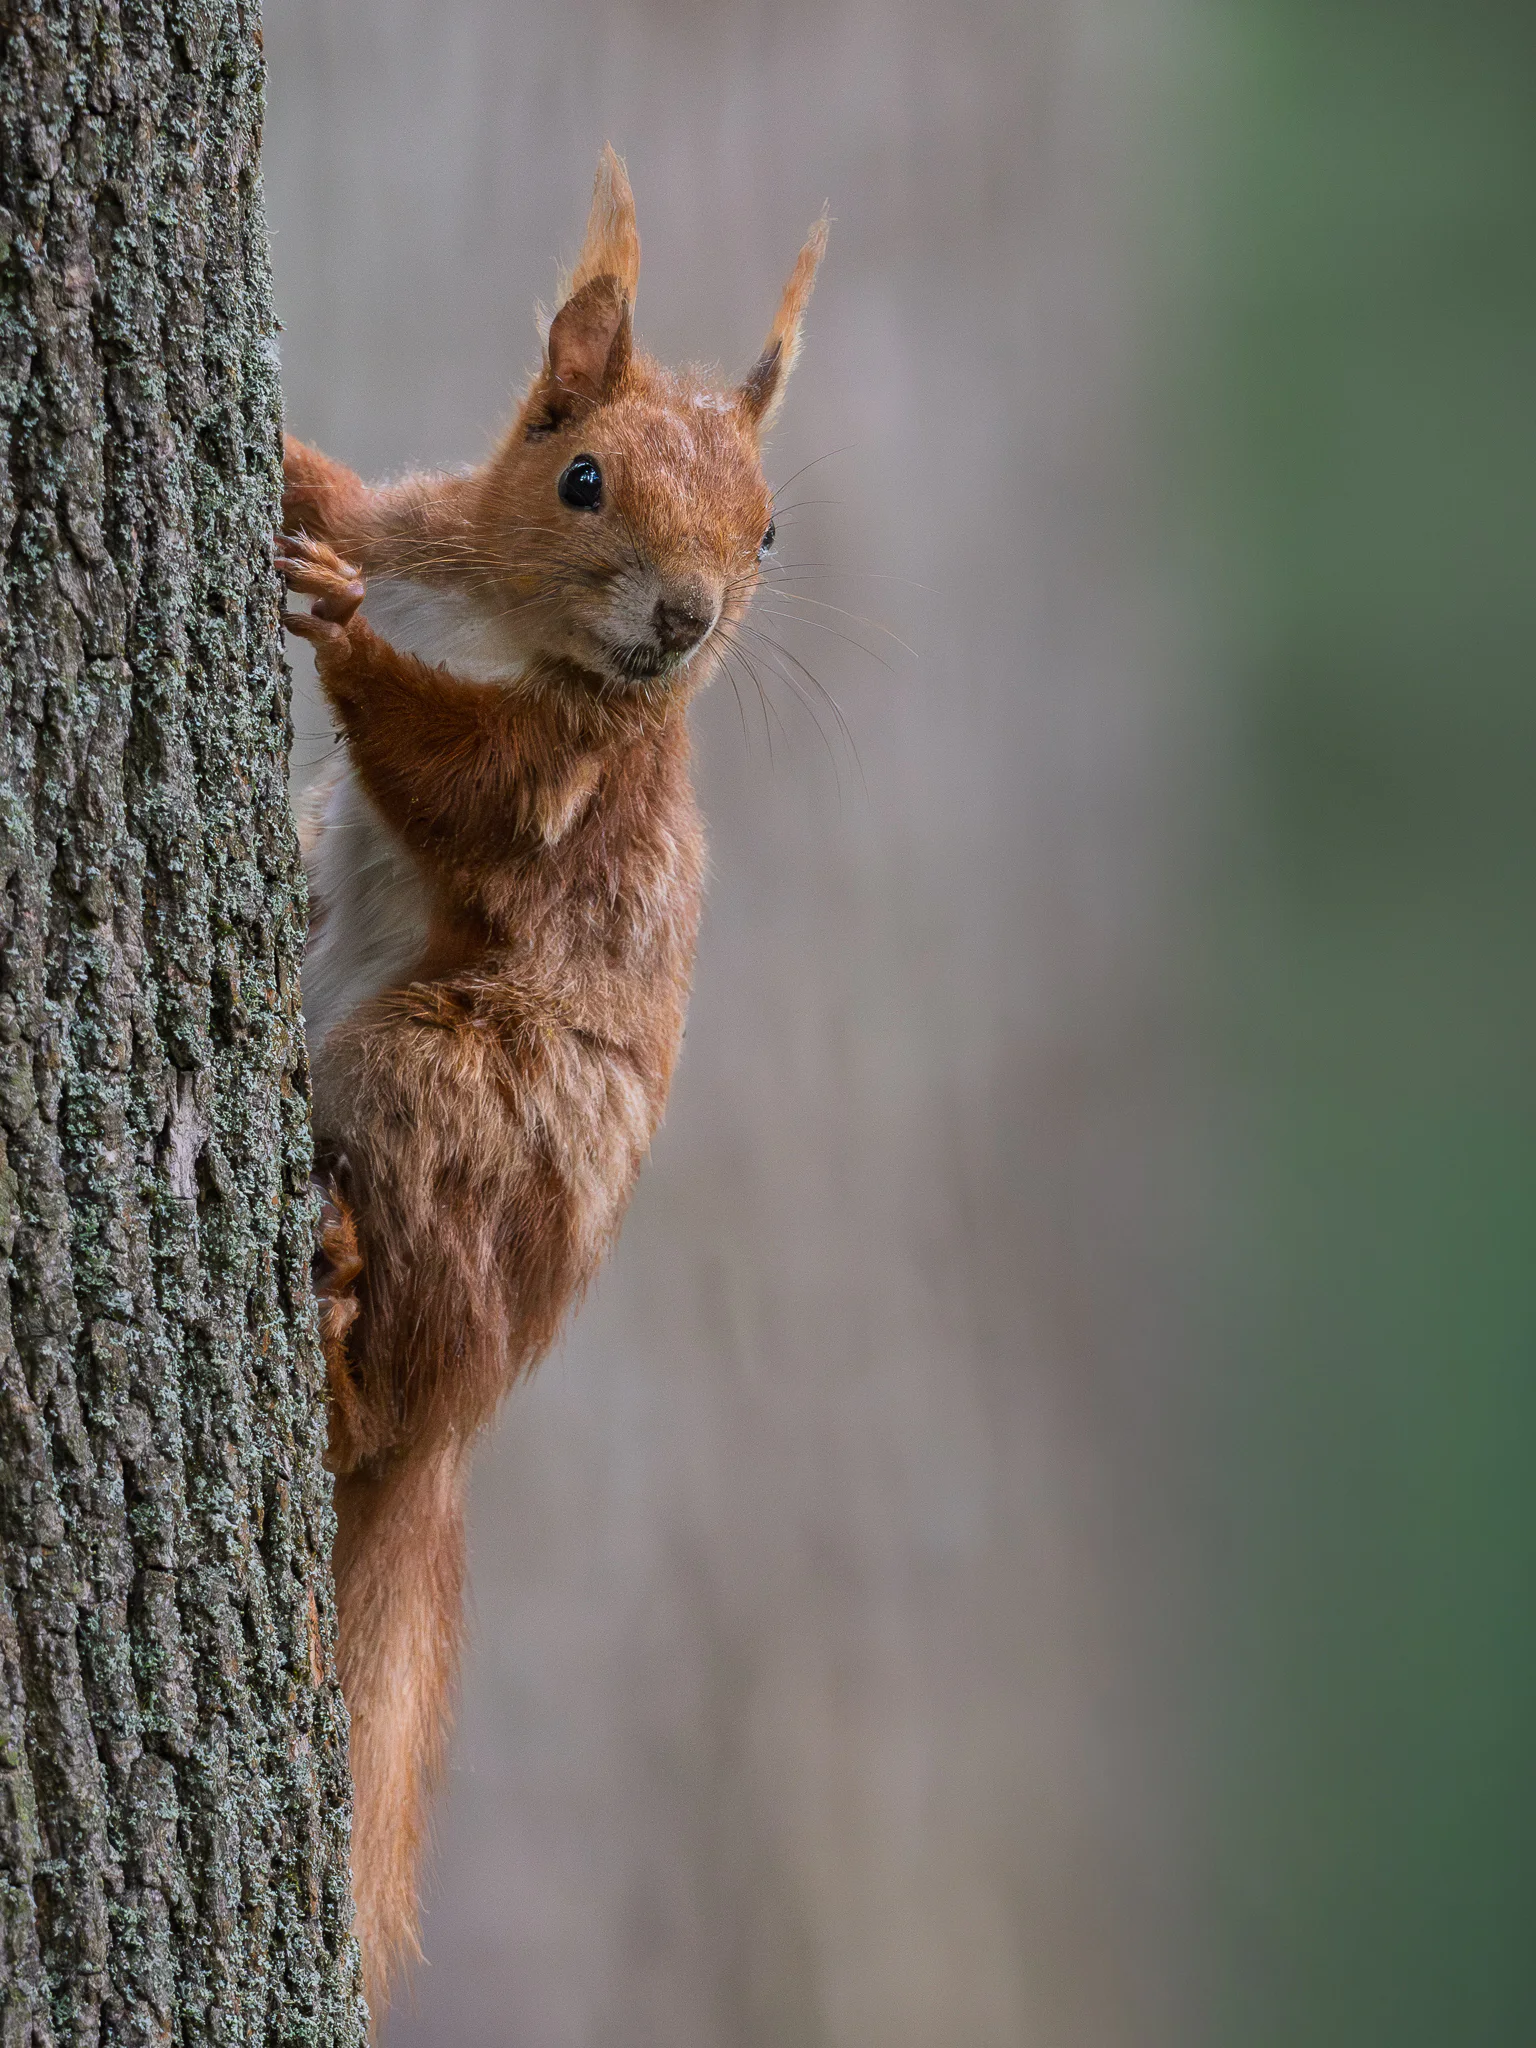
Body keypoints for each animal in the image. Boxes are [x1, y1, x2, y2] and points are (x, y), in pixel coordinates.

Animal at [276, 147, 826, 2015]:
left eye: (769, 526)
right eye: (577, 471)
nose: (683, 622)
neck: (495, 611)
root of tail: (470, 1413)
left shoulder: (562, 785)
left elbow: (448, 774)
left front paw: (345, 646)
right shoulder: (423, 513)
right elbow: (356, 494)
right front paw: (284, 476)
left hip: (431, 1087)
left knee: (386, 1379)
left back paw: (341, 1310)